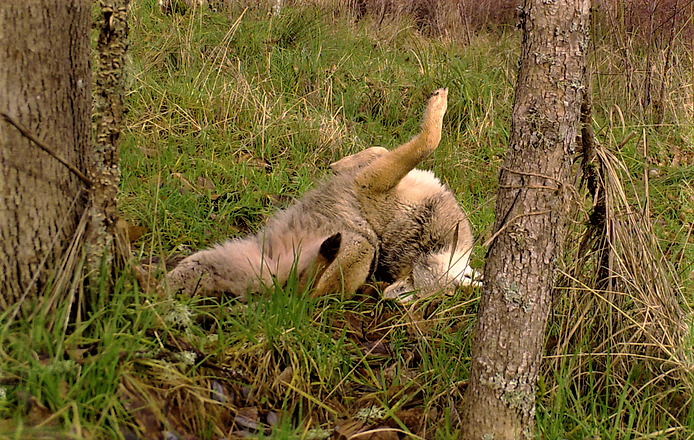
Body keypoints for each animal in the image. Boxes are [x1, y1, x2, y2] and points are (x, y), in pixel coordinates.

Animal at [166, 88, 479, 302]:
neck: (422, 225)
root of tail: (275, 285)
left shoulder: (372, 180)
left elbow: (426, 142)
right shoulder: (376, 174)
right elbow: (387, 148)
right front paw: (339, 164)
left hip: (362, 248)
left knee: (313, 294)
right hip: (202, 264)